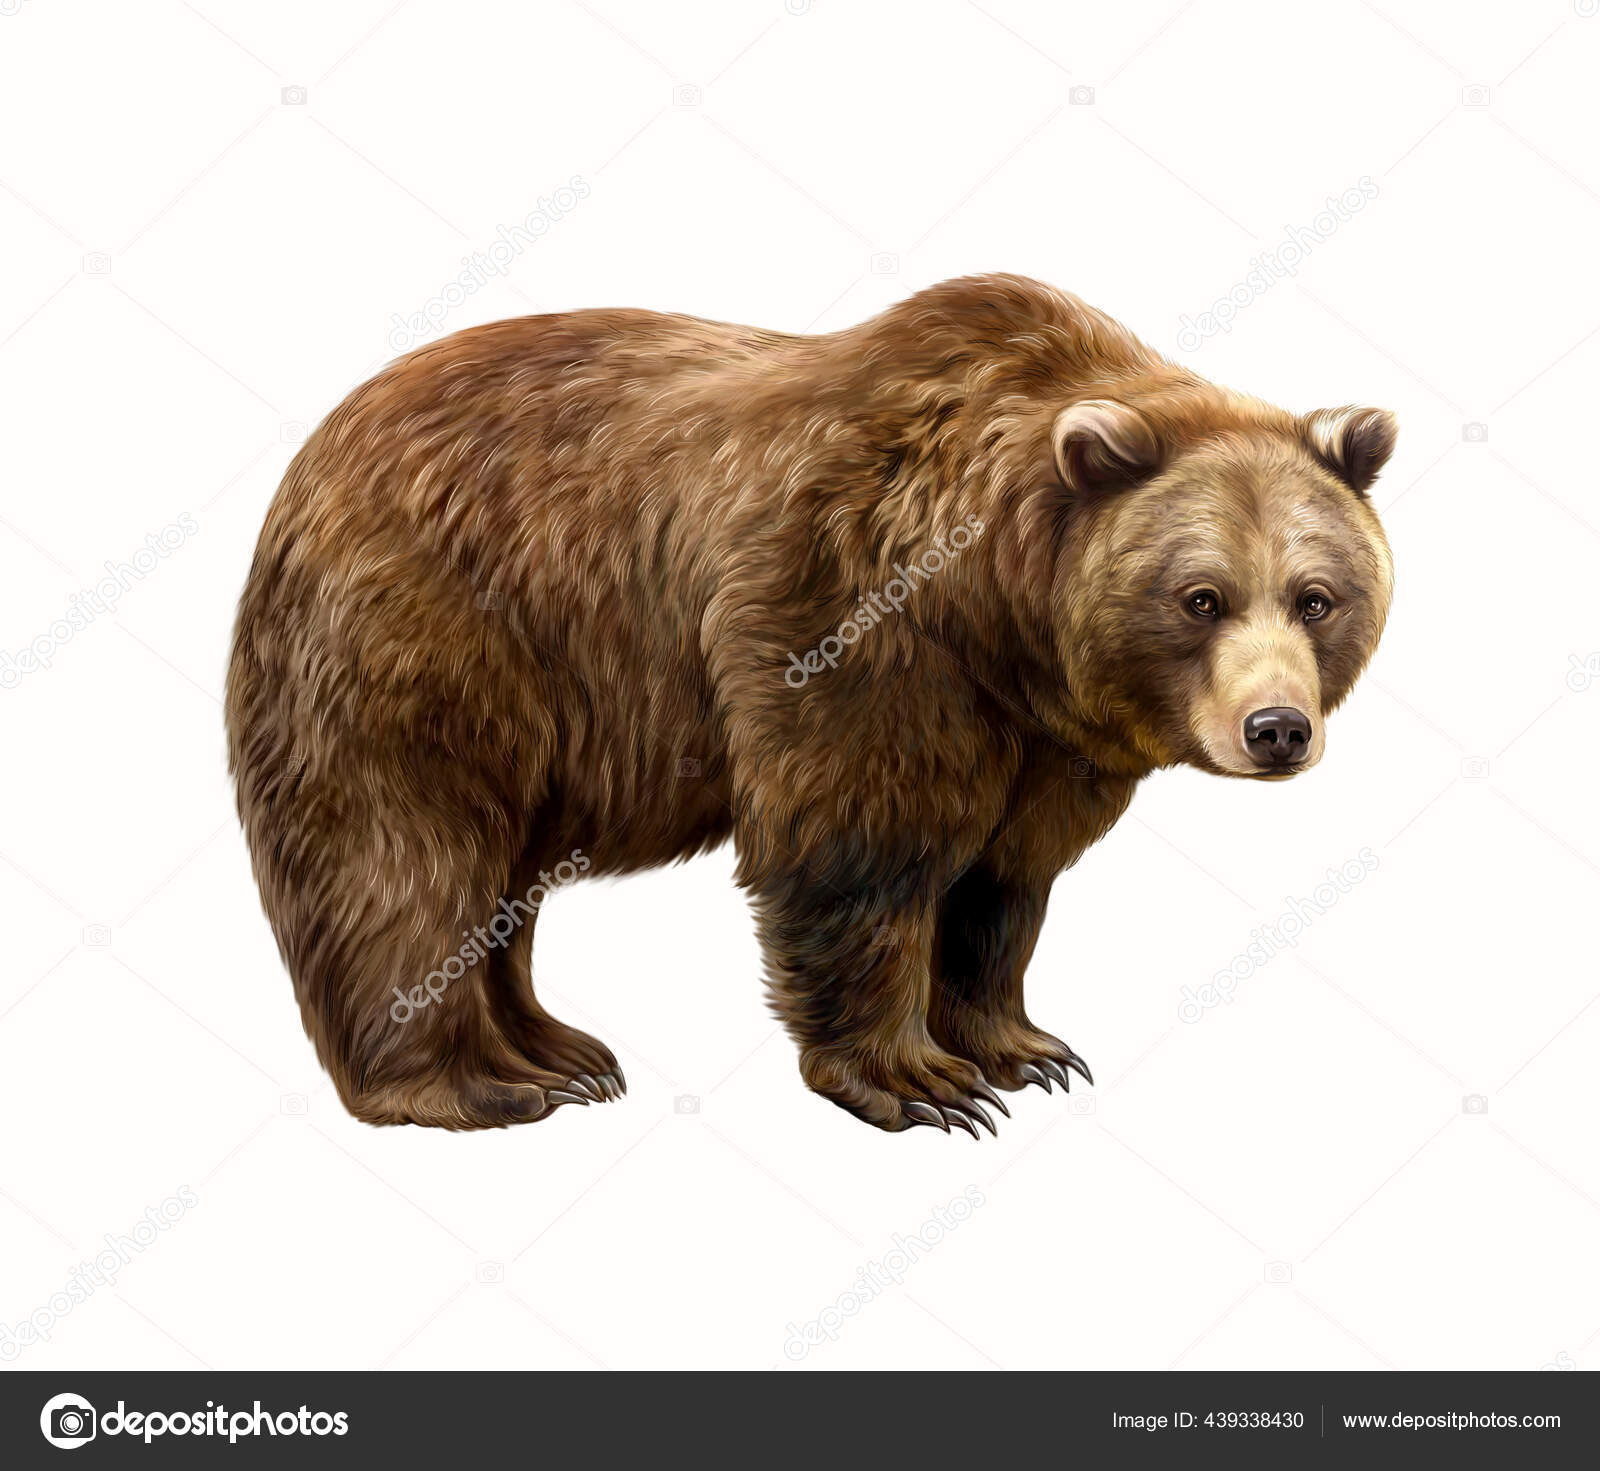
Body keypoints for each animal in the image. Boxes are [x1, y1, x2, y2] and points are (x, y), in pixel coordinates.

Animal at [226, 273, 1395, 1135]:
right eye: (1200, 596)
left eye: (1316, 595)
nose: (1276, 729)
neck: (999, 609)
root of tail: (314, 451)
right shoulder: (852, 616)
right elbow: (857, 846)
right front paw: (919, 1081)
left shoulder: (1045, 735)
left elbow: (1003, 877)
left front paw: (1018, 1047)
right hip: (436, 629)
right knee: (404, 850)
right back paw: (478, 1083)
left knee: (503, 877)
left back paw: (559, 1048)